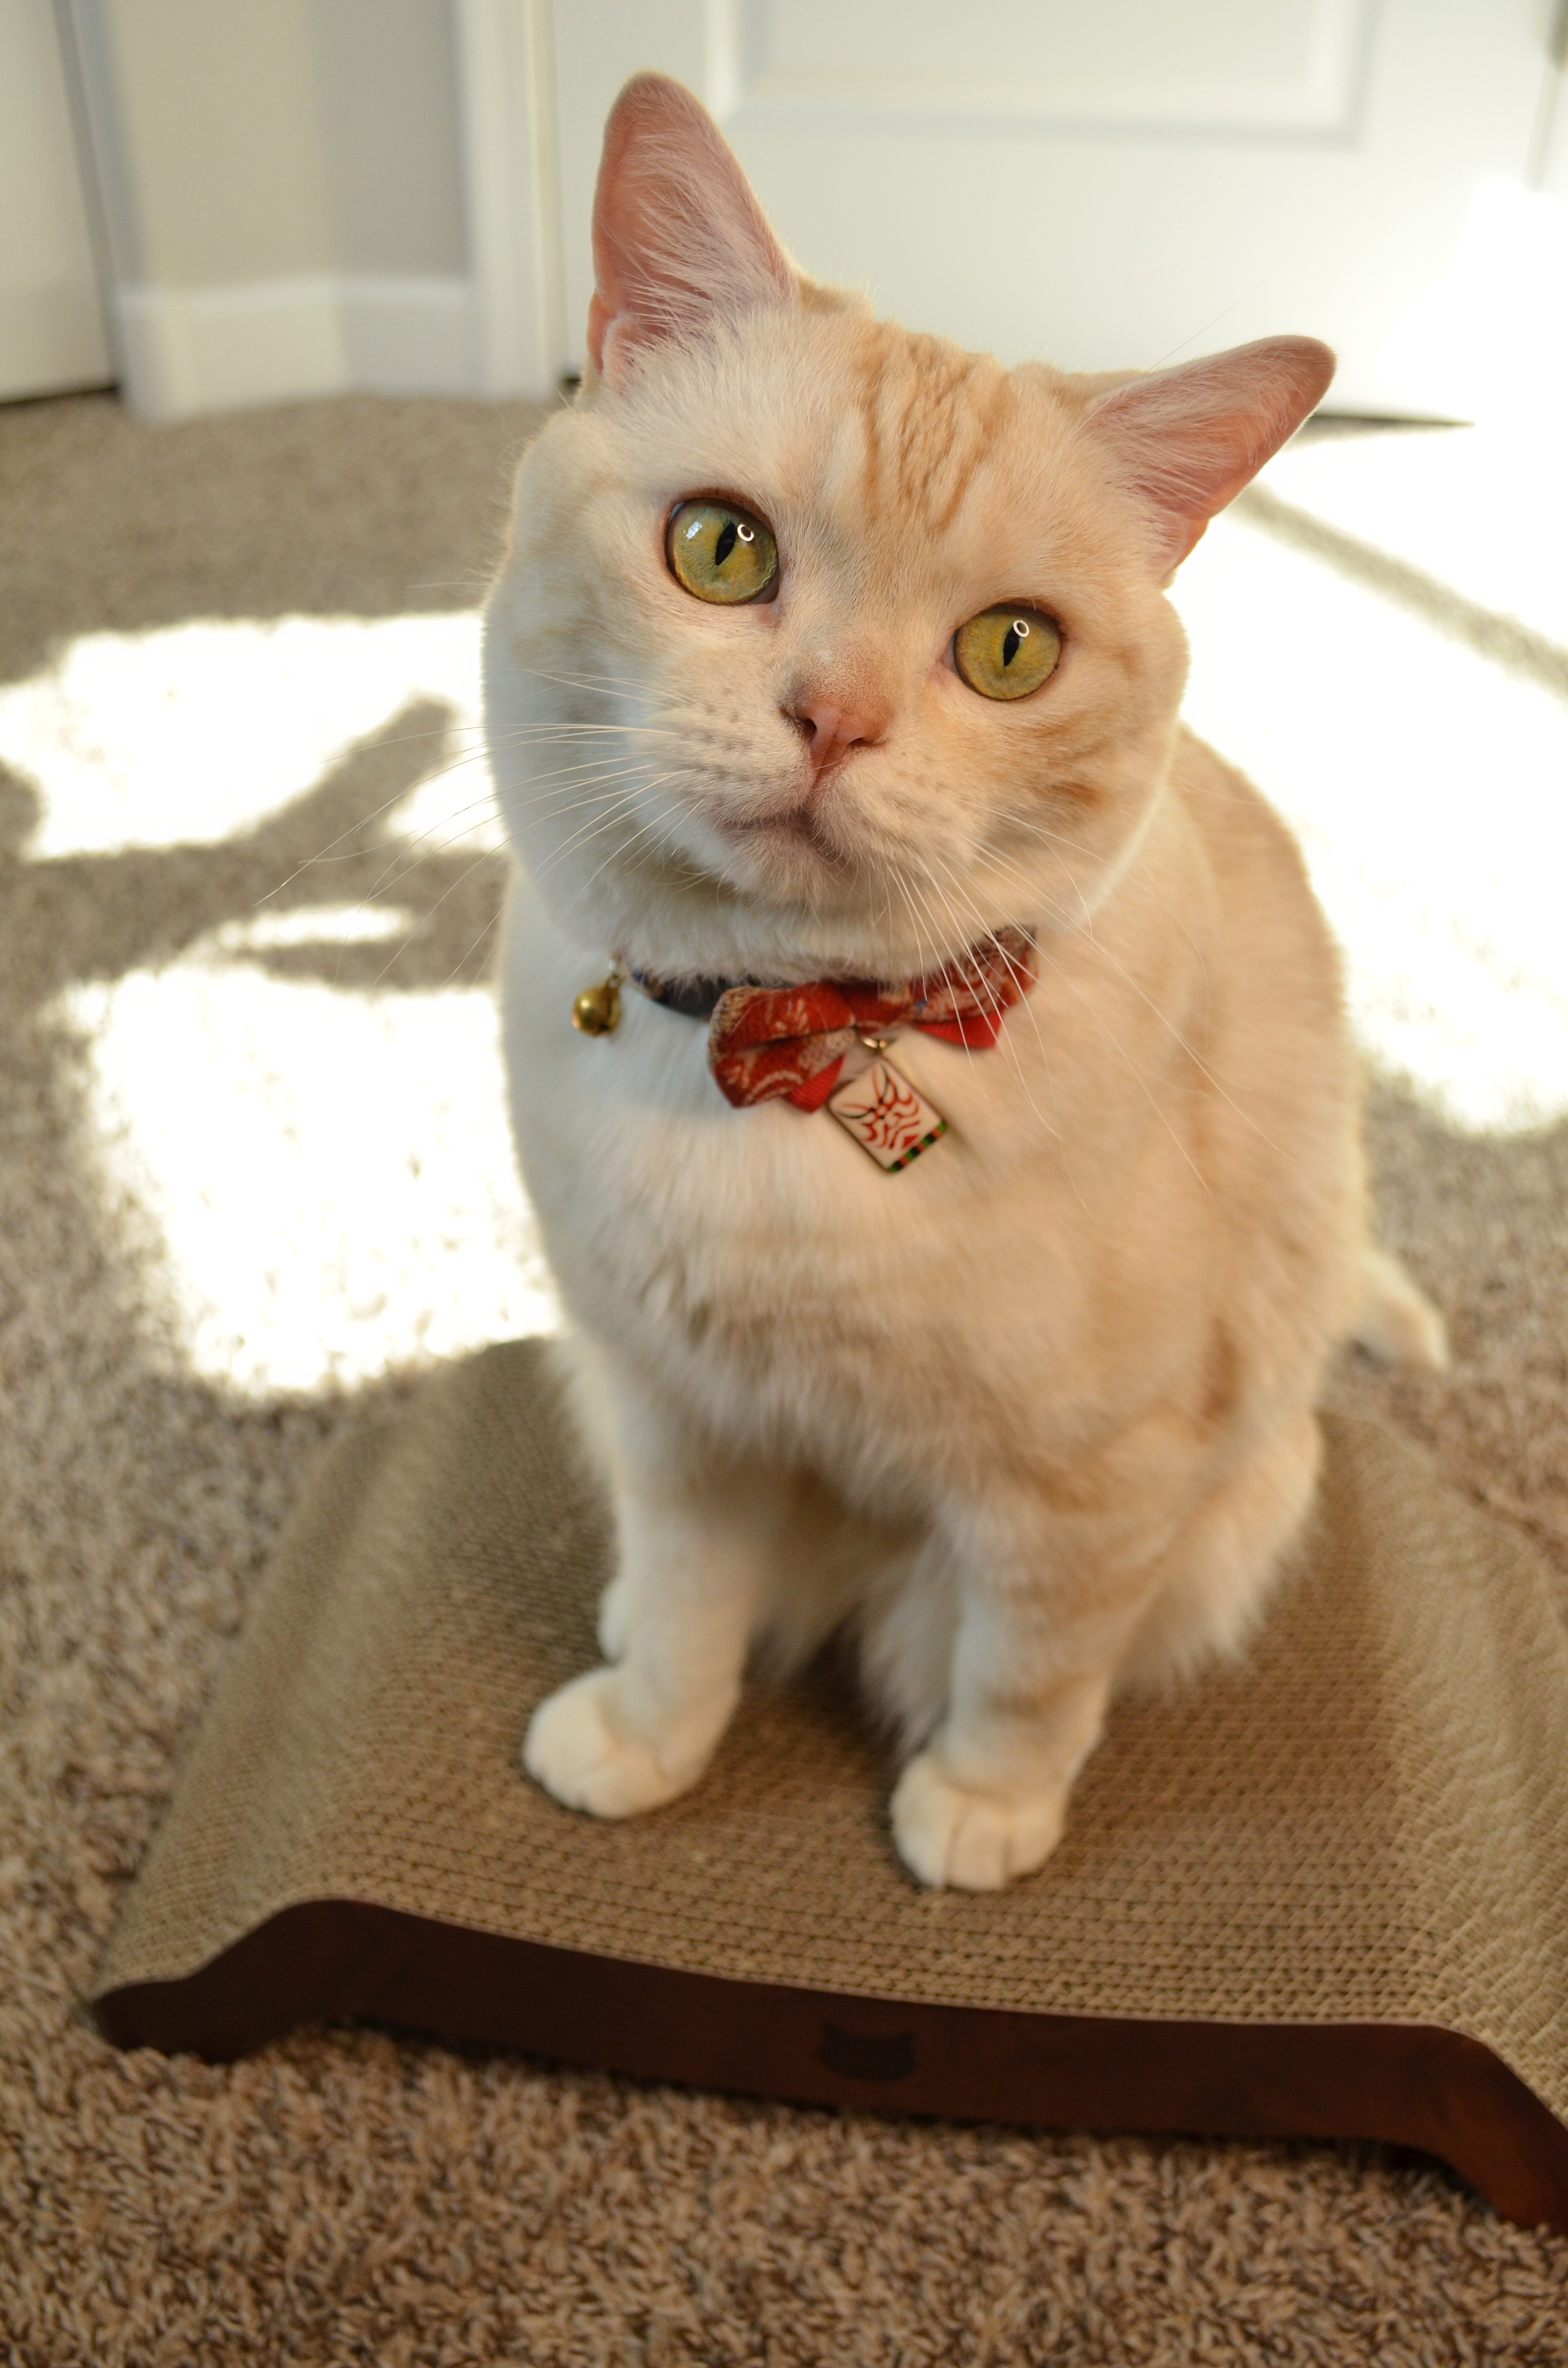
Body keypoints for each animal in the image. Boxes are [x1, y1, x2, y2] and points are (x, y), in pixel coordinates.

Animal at [487, 69, 1449, 1885]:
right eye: (719, 550)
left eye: (1008, 650)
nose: (834, 717)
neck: (784, 1056)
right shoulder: (673, 1418)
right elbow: (688, 1608)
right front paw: (649, 1738)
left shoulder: (1079, 1495)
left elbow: (1025, 1668)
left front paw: (982, 1813)